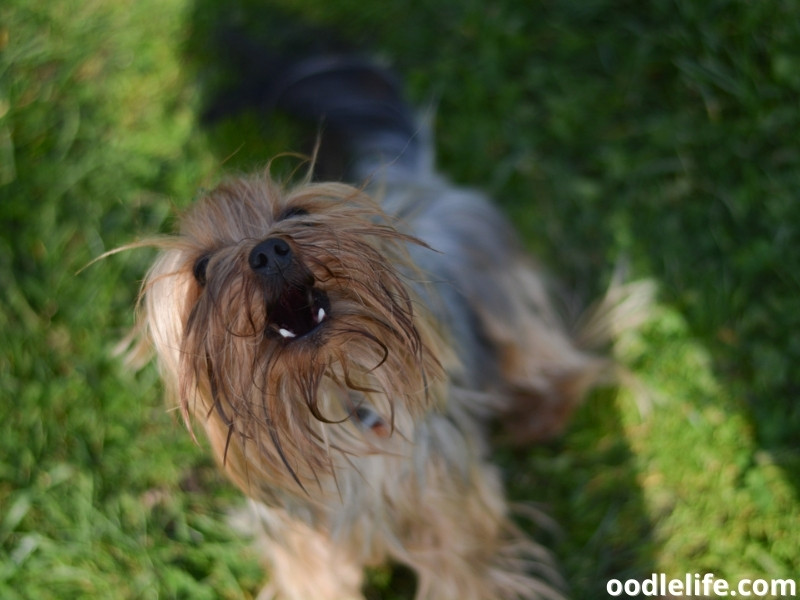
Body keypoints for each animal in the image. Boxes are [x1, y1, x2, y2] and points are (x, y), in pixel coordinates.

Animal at [126, 54, 636, 596]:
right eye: (202, 268)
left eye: (295, 212)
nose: (269, 251)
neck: (330, 396)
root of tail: (420, 183)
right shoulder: (306, 541)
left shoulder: (449, 510)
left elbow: (467, 571)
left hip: (505, 303)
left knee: (561, 360)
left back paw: (536, 413)